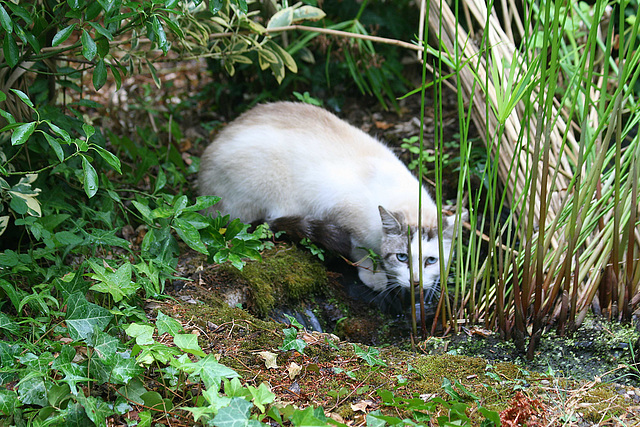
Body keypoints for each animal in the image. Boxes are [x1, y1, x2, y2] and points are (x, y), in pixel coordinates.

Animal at [199, 102, 460, 300]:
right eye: (402, 257)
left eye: (431, 261)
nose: (415, 282)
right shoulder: (339, 212)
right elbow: (359, 251)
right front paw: (375, 276)